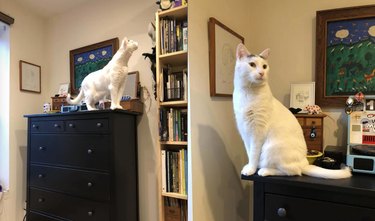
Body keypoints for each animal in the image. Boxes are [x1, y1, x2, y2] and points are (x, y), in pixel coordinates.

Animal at [234, 43, 354, 180]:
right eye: (252, 64)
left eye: (264, 66)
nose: (261, 72)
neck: (248, 92)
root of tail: (305, 163)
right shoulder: (245, 132)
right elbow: (249, 153)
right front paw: (249, 166)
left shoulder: (257, 133)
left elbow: (254, 154)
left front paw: (251, 169)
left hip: (271, 149)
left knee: (292, 171)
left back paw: (264, 170)